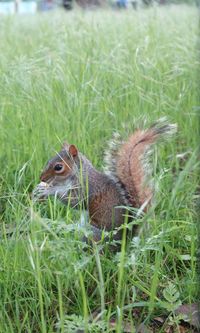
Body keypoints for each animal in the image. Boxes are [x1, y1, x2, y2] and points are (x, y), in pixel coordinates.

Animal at [32, 119, 177, 241]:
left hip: (94, 232)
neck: (79, 174)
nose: (41, 178)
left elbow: (75, 201)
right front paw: (41, 188)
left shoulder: (87, 188)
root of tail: (126, 238)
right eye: (48, 161)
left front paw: (49, 191)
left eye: (58, 167)